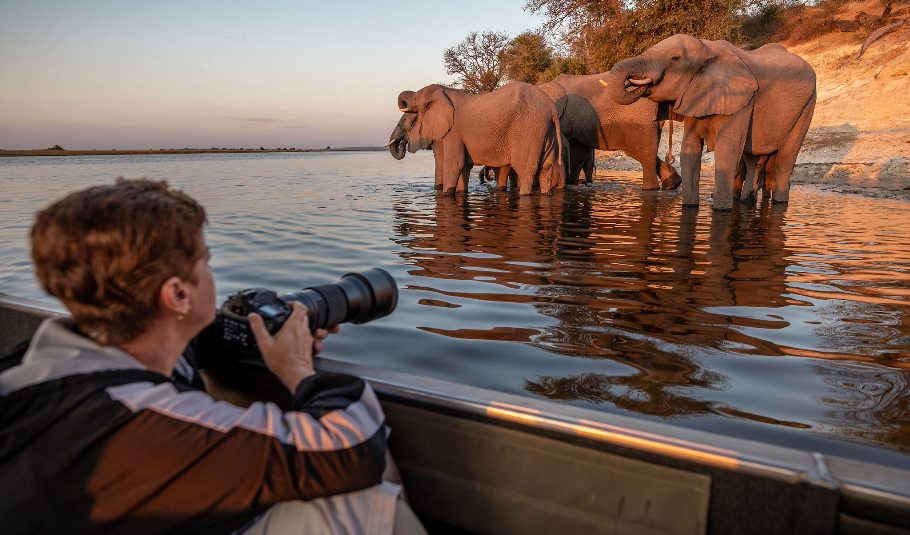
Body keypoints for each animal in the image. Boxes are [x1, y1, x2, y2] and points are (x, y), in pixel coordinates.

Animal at [398, 81, 564, 195]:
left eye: (416, 99)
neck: (445, 91)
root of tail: (551, 107)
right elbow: (464, 166)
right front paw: (461, 193)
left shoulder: (454, 130)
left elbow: (455, 164)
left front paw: (446, 195)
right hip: (547, 131)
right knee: (546, 168)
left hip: (528, 130)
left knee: (525, 170)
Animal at [536, 73, 680, 191]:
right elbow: (579, 151)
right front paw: (575, 183)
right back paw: (673, 185)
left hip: (643, 123)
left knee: (644, 155)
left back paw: (652, 189)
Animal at [604, 34, 820, 210]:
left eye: (675, 58)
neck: (707, 48)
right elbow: (689, 151)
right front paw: (690, 206)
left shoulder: (741, 100)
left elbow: (727, 151)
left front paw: (721, 209)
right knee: (754, 160)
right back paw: (745, 202)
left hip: (808, 106)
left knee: (785, 159)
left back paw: (779, 202)